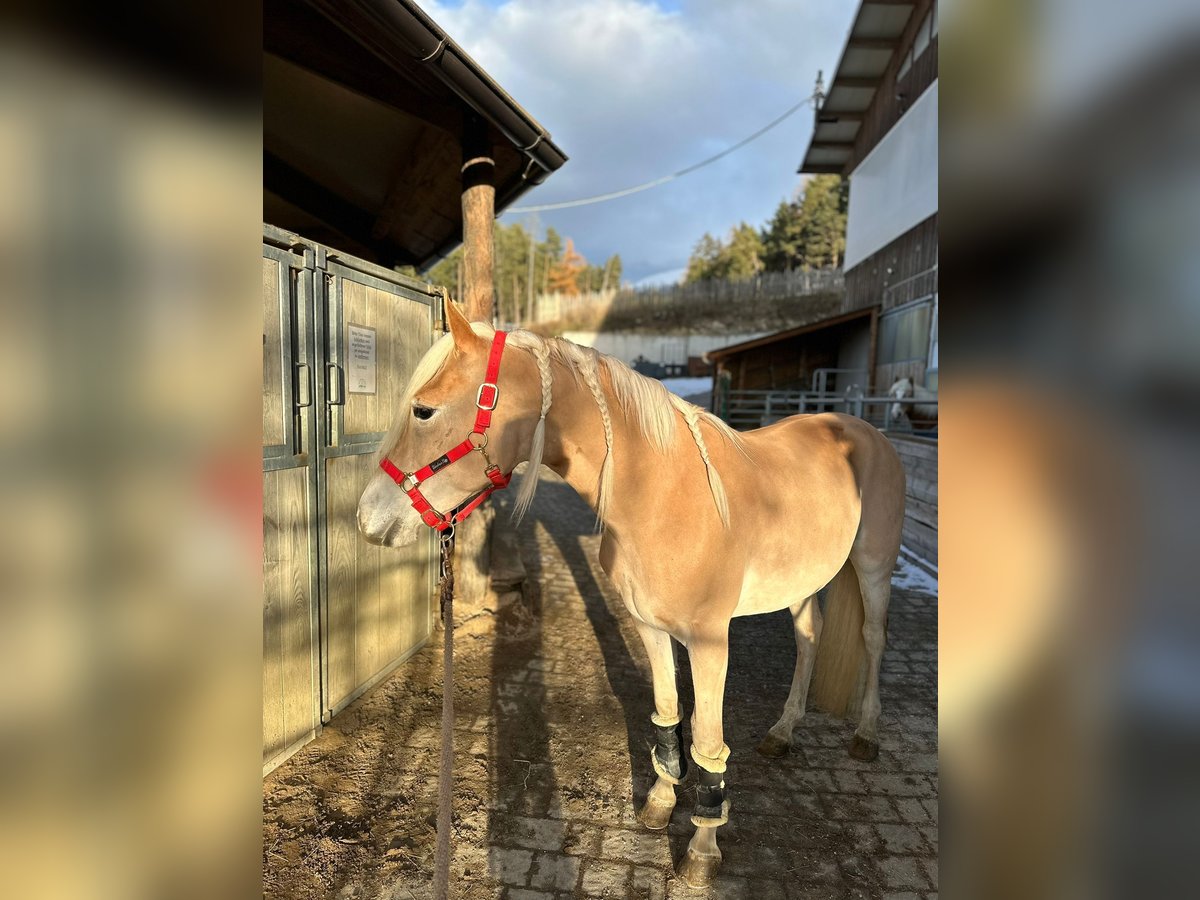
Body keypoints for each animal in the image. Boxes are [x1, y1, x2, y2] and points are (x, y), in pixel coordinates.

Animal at [360, 303, 902, 888]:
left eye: (423, 410)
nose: (368, 517)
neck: (662, 494)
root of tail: (864, 429)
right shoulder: (649, 626)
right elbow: (667, 713)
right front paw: (660, 804)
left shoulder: (710, 642)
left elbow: (706, 741)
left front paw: (702, 852)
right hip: (800, 583)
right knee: (809, 638)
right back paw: (783, 731)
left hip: (873, 569)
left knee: (873, 639)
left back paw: (867, 734)